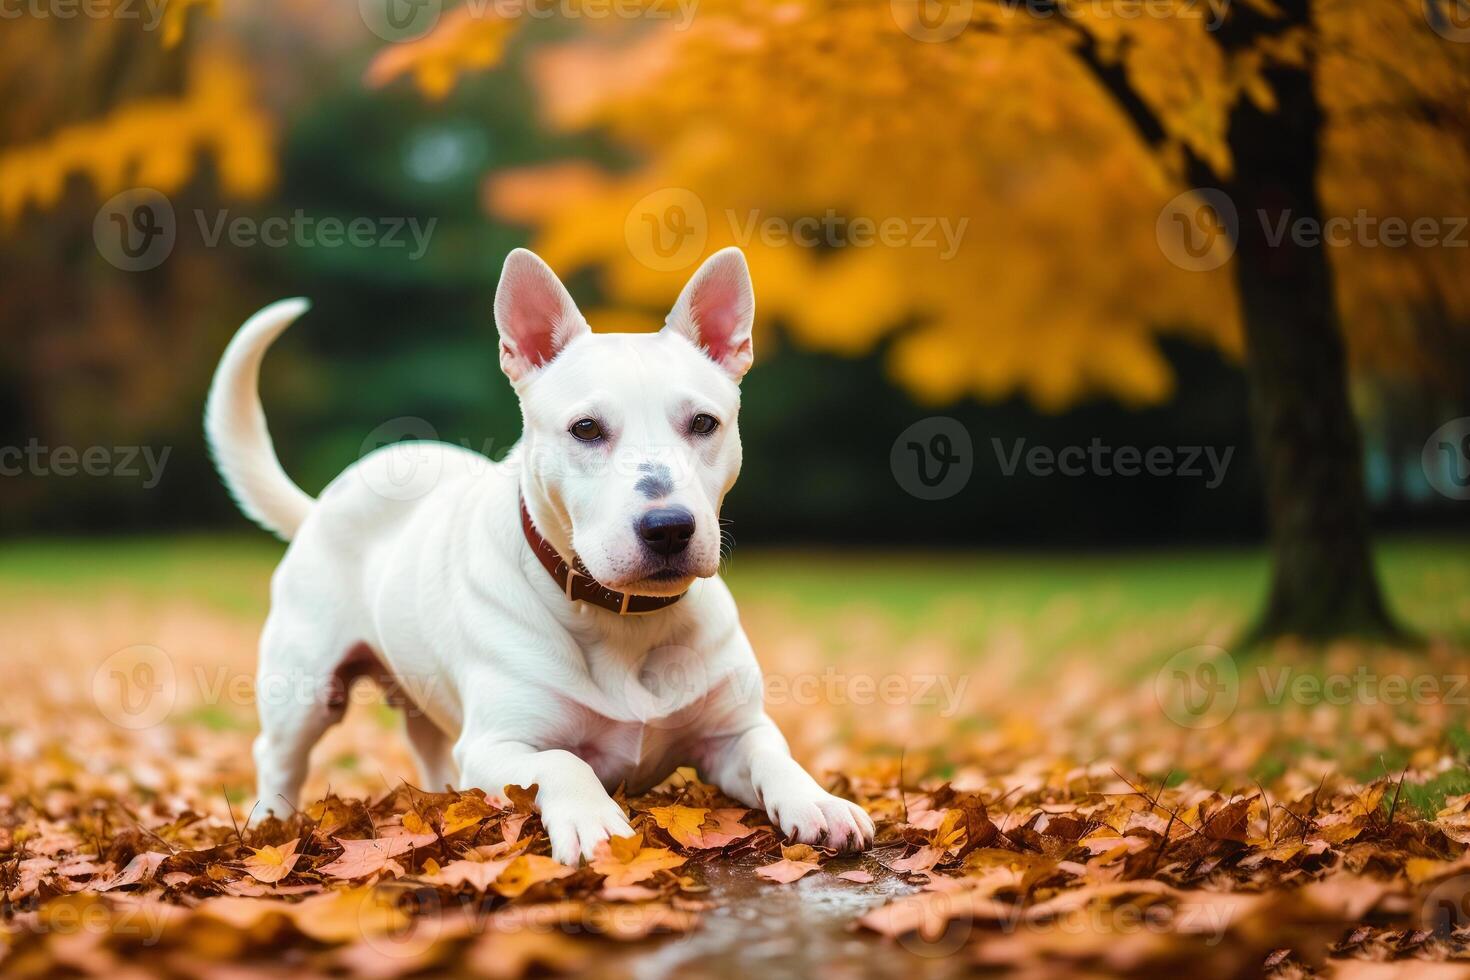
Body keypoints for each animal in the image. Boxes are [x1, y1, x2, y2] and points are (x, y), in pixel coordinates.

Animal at [205, 246, 870, 863]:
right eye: (586, 429)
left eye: (705, 423)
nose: (668, 528)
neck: (625, 620)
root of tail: (323, 500)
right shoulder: (498, 745)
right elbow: (561, 762)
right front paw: (593, 818)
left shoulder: (732, 731)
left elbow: (772, 753)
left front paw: (818, 801)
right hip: (303, 684)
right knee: (280, 753)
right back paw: (270, 824)